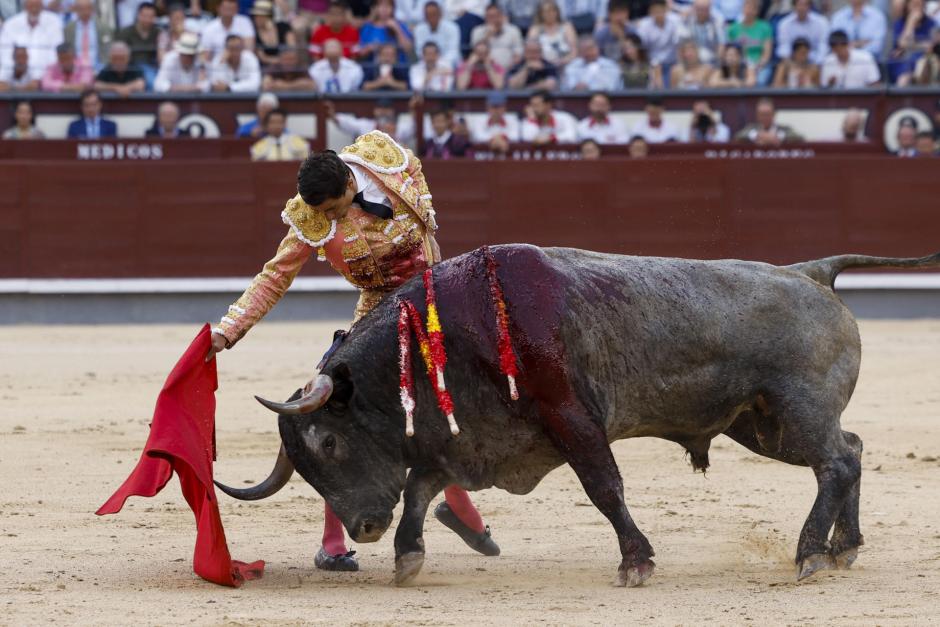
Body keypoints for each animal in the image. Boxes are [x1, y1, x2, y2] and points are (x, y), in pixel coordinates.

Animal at [215, 243, 940, 588]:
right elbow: (421, 489)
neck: (455, 330)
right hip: (761, 425)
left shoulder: (572, 417)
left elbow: (604, 487)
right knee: (851, 450)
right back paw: (844, 547)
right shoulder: (469, 439)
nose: (363, 528)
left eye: (328, 443)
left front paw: (636, 563)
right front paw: (408, 558)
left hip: (794, 410)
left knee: (836, 460)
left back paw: (811, 553)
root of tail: (811, 270)